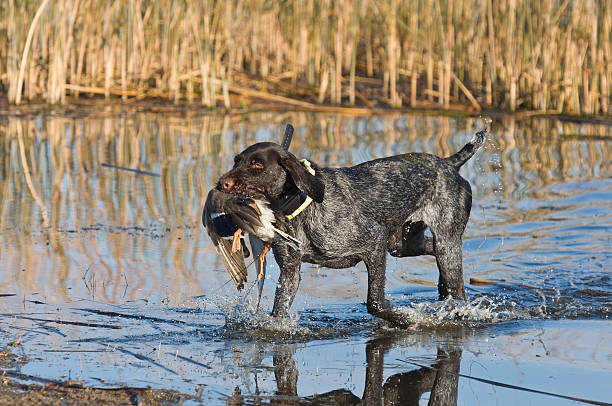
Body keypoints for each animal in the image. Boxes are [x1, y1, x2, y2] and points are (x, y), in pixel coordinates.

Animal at [213, 128, 486, 328]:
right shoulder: (290, 271)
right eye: (237, 161)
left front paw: (406, 319)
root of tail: (449, 163)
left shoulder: (374, 244)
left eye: (257, 165)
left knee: (459, 291)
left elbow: (375, 303)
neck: (300, 206)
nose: (220, 184)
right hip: (403, 244)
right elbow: (279, 311)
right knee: (433, 253)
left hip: (444, 245)